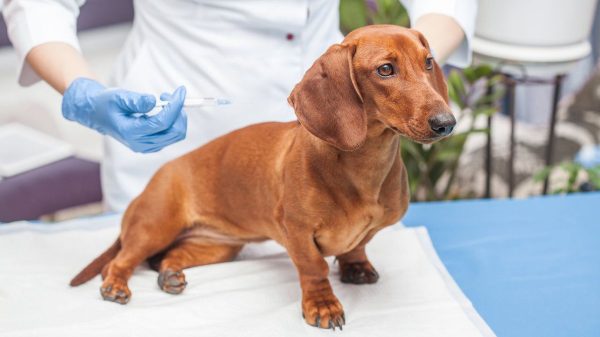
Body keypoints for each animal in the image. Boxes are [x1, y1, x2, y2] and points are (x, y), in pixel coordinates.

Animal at [70, 25, 454, 330]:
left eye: (428, 62)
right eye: (385, 69)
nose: (447, 123)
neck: (363, 167)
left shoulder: (370, 228)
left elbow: (357, 244)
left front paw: (355, 266)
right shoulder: (296, 231)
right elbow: (313, 267)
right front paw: (322, 304)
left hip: (218, 246)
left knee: (163, 258)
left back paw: (171, 275)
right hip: (155, 225)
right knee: (120, 262)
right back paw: (116, 286)